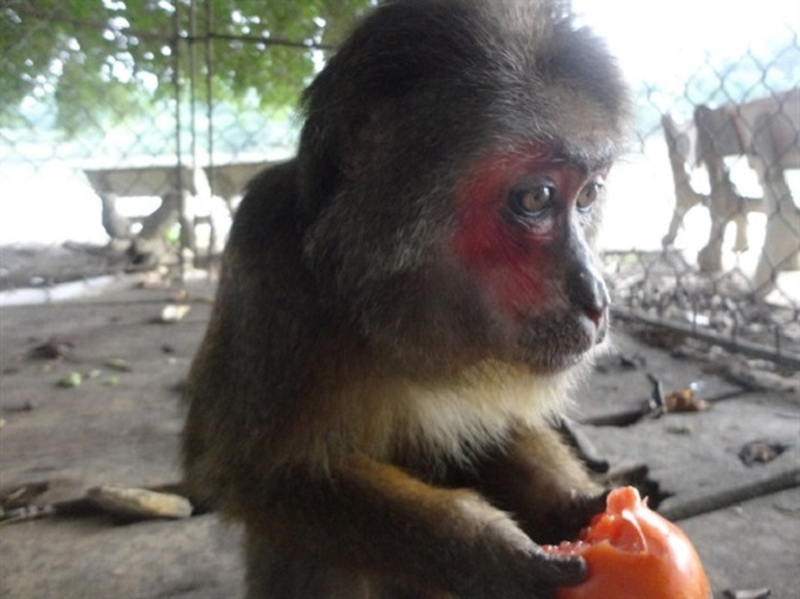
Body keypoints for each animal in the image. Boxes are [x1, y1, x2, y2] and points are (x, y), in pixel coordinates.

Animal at [183, 1, 632, 599]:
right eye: (536, 198)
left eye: (588, 196)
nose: (596, 298)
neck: (383, 309)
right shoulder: (267, 257)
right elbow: (263, 475)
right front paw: (488, 555)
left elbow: (492, 433)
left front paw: (570, 507)